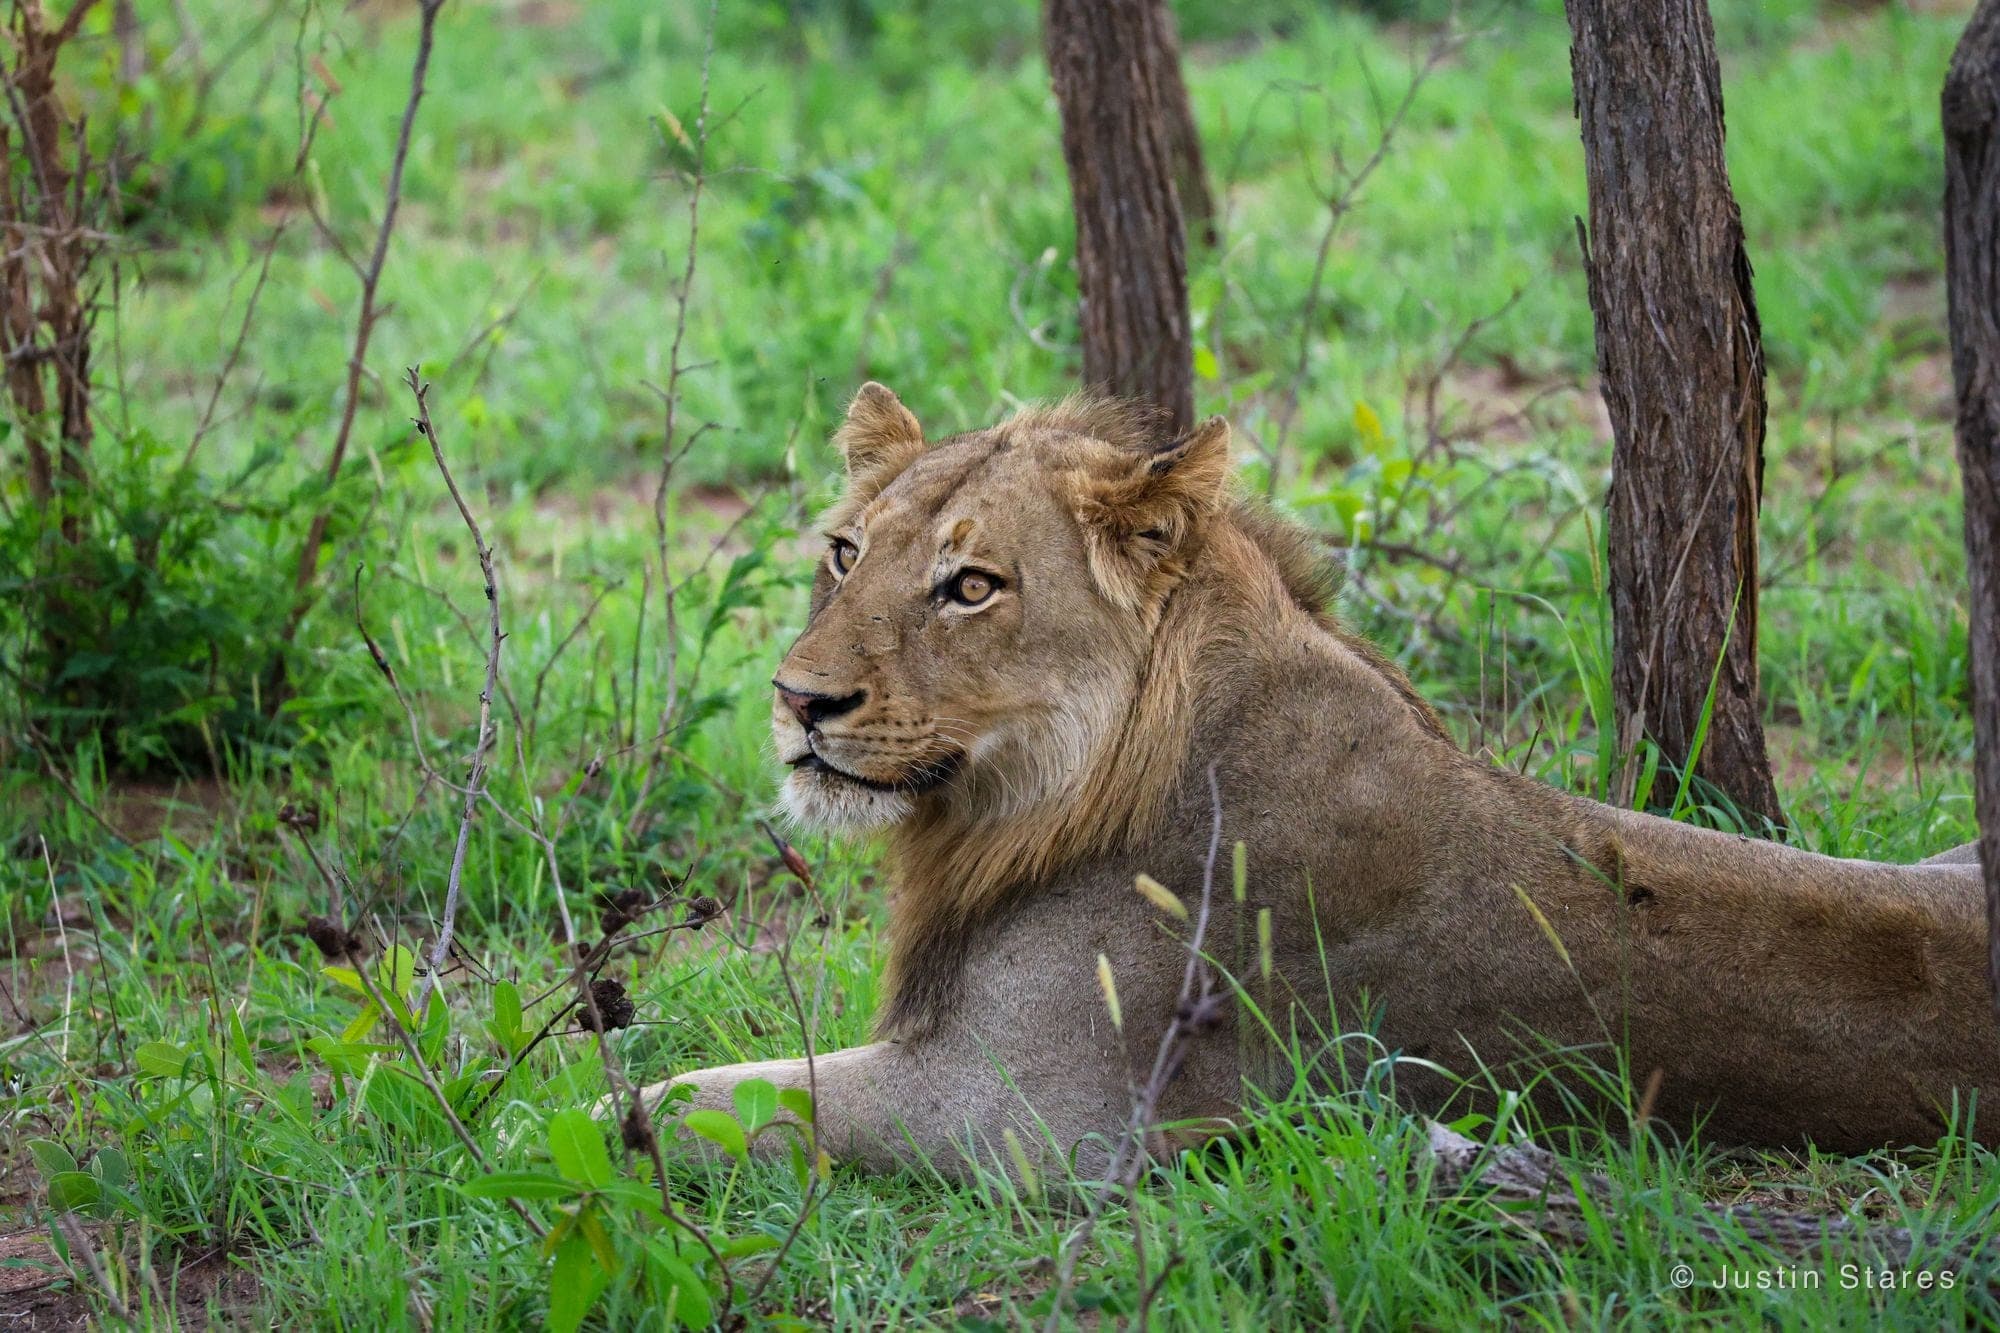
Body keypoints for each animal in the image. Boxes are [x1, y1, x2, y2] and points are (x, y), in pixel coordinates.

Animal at [643, 383, 2000, 1180]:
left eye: (970, 586)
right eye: (843, 552)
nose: (797, 699)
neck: (1023, 805)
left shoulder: (1018, 1119)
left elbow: (676, 1104)